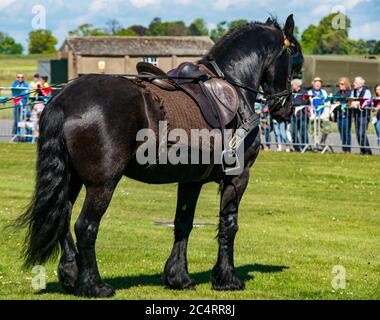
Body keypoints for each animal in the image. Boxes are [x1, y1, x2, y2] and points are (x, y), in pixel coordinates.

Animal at [17, 13, 302, 296]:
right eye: (295, 58)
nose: (286, 107)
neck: (233, 87)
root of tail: (64, 100)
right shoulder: (238, 177)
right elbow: (229, 224)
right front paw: (227, 278)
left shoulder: (191, 181)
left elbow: (183, 223)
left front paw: (178, 276)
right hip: (102, 184)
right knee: (85, 227)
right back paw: (93, 285)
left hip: (71, 178)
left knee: (62, 219)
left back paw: (71, 274)